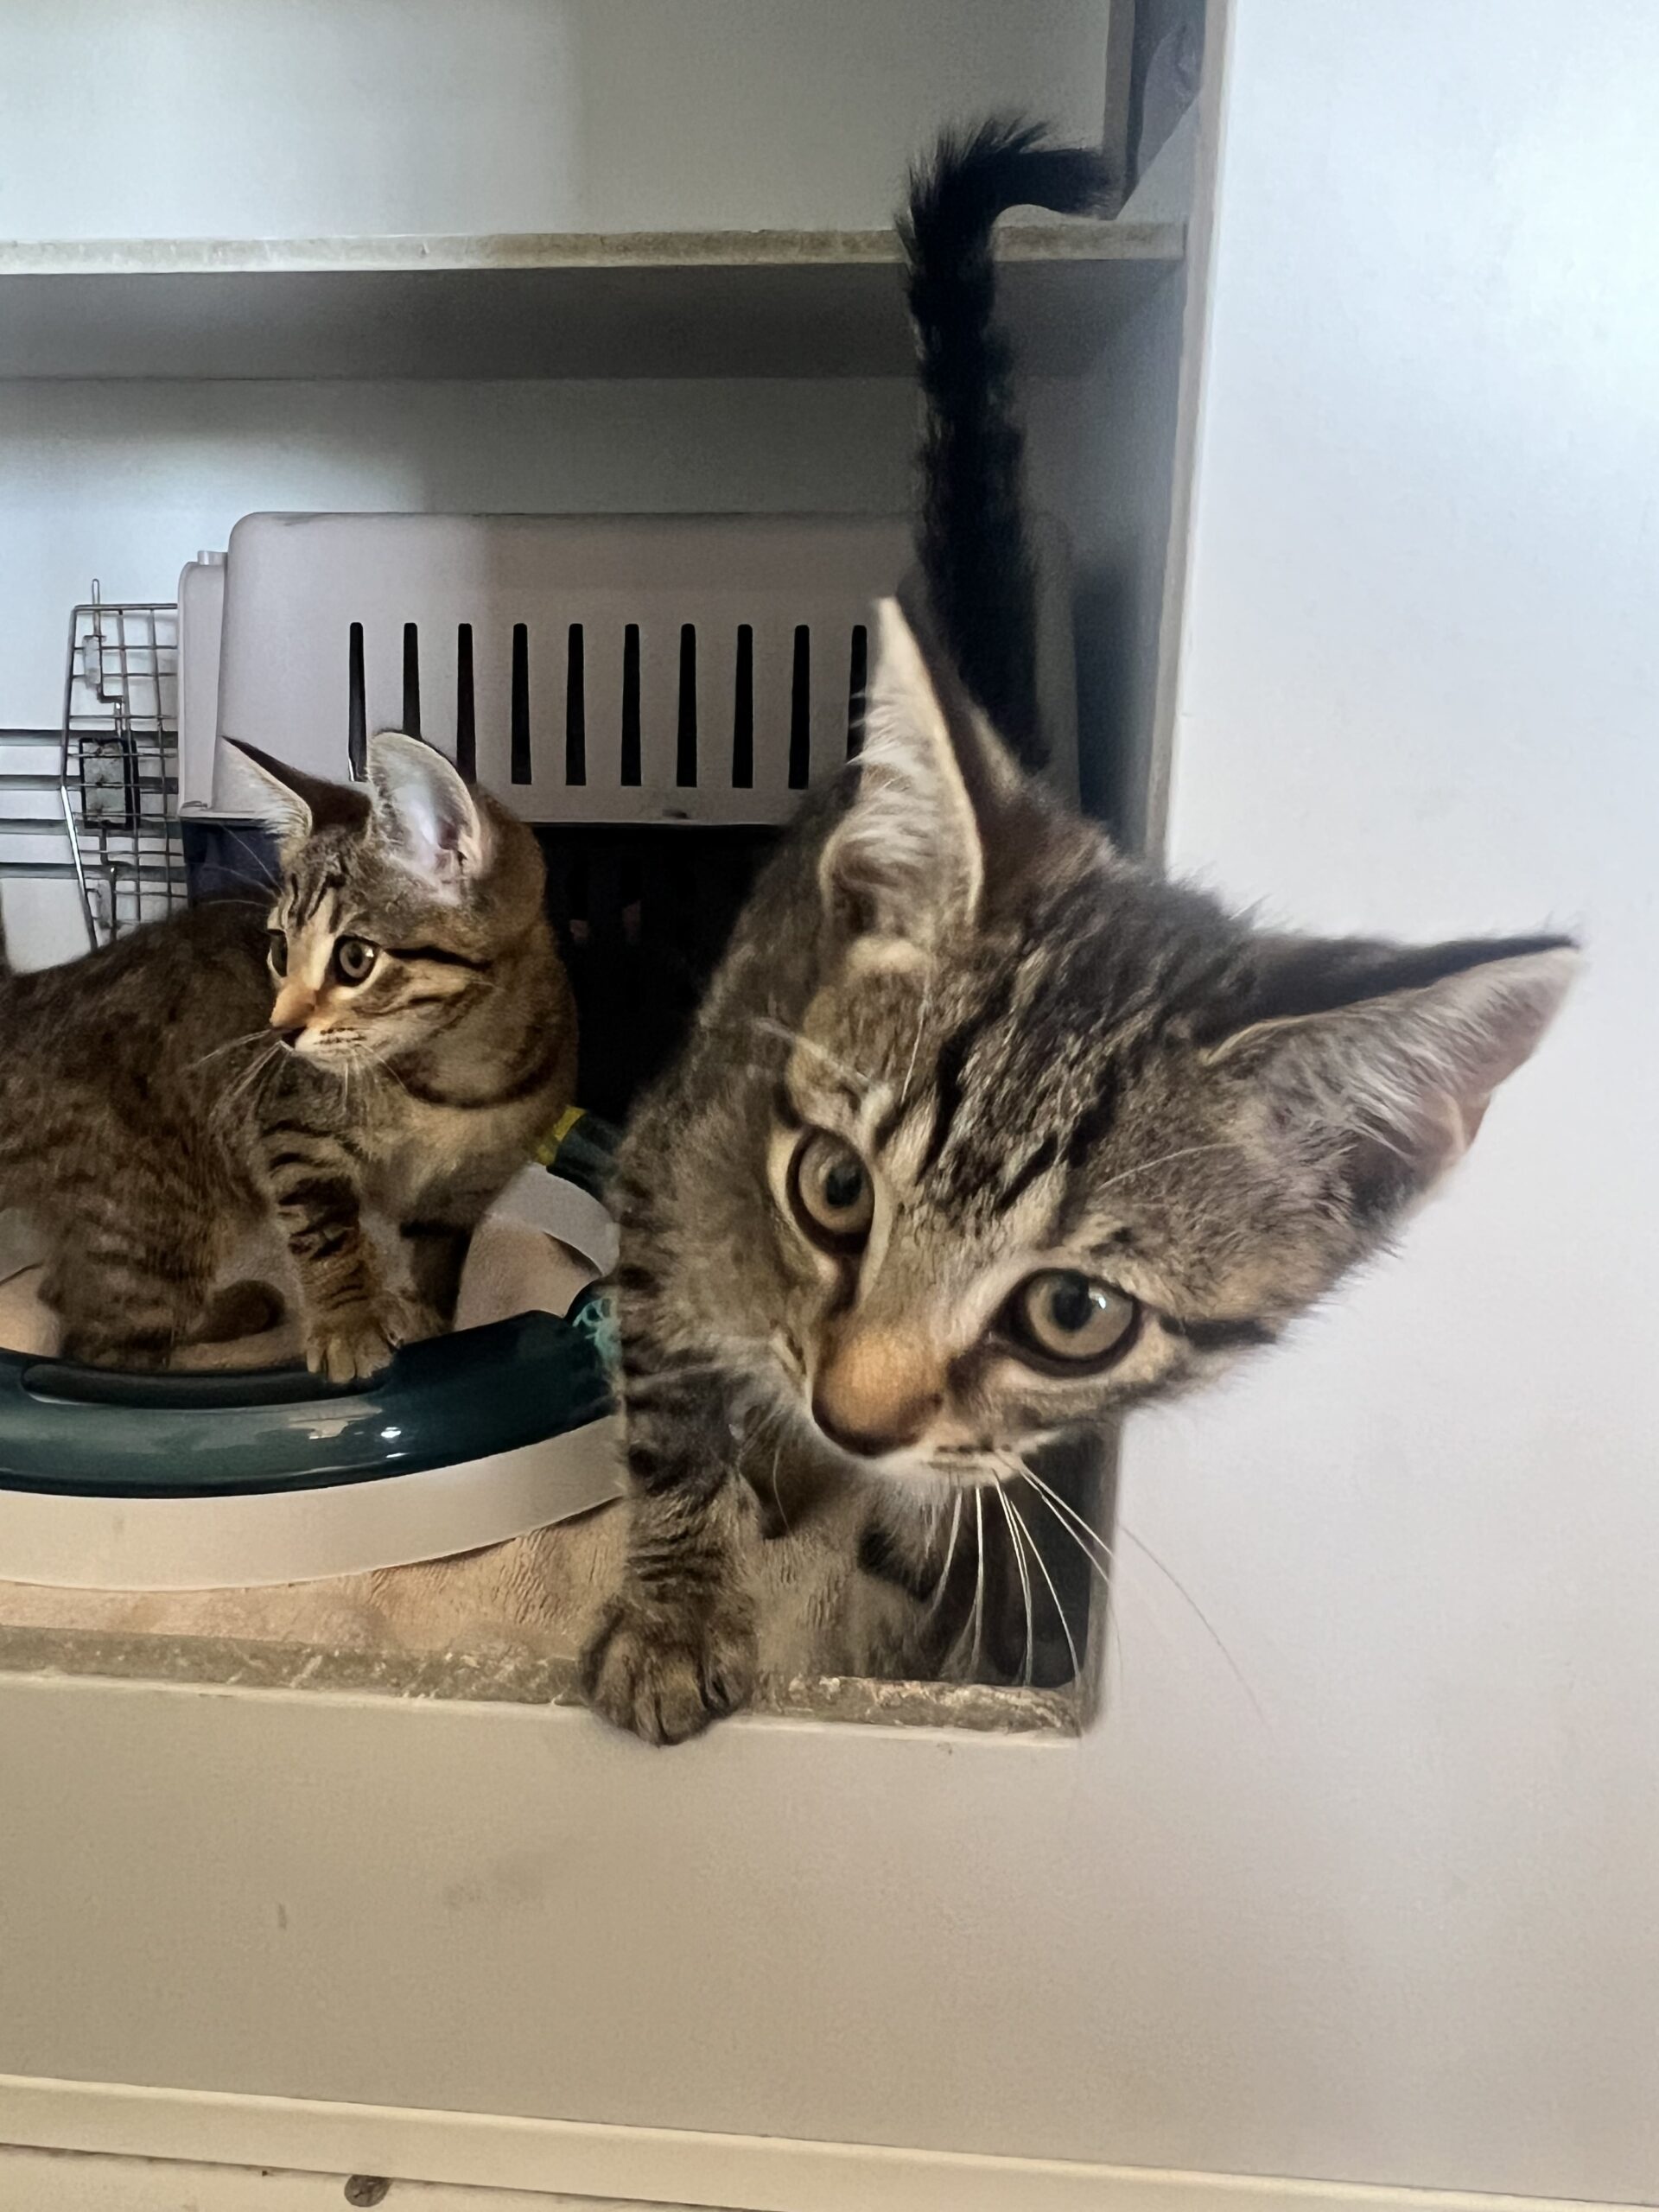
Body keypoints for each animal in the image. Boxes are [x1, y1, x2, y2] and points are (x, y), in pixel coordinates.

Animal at [0, 733, 573, 1379]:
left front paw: (424, 1328)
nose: (279, 1030)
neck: (455, 1083)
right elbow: (326, 1232)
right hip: (148, 1222)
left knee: (61, 1294)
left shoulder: (460, 1197)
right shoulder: (292, 1134)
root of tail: (27, 993)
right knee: (100, 1350)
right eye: (279, 950)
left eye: (354, 959)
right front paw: (349, 1324)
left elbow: (432, 1275)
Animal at [578, 121, 1578, 1743]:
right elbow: (671, 1413)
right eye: (835, 1189)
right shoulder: (677, 1179)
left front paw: (942, 1584)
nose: (855, 1412)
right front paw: (676, 1607)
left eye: (1072, 1315)